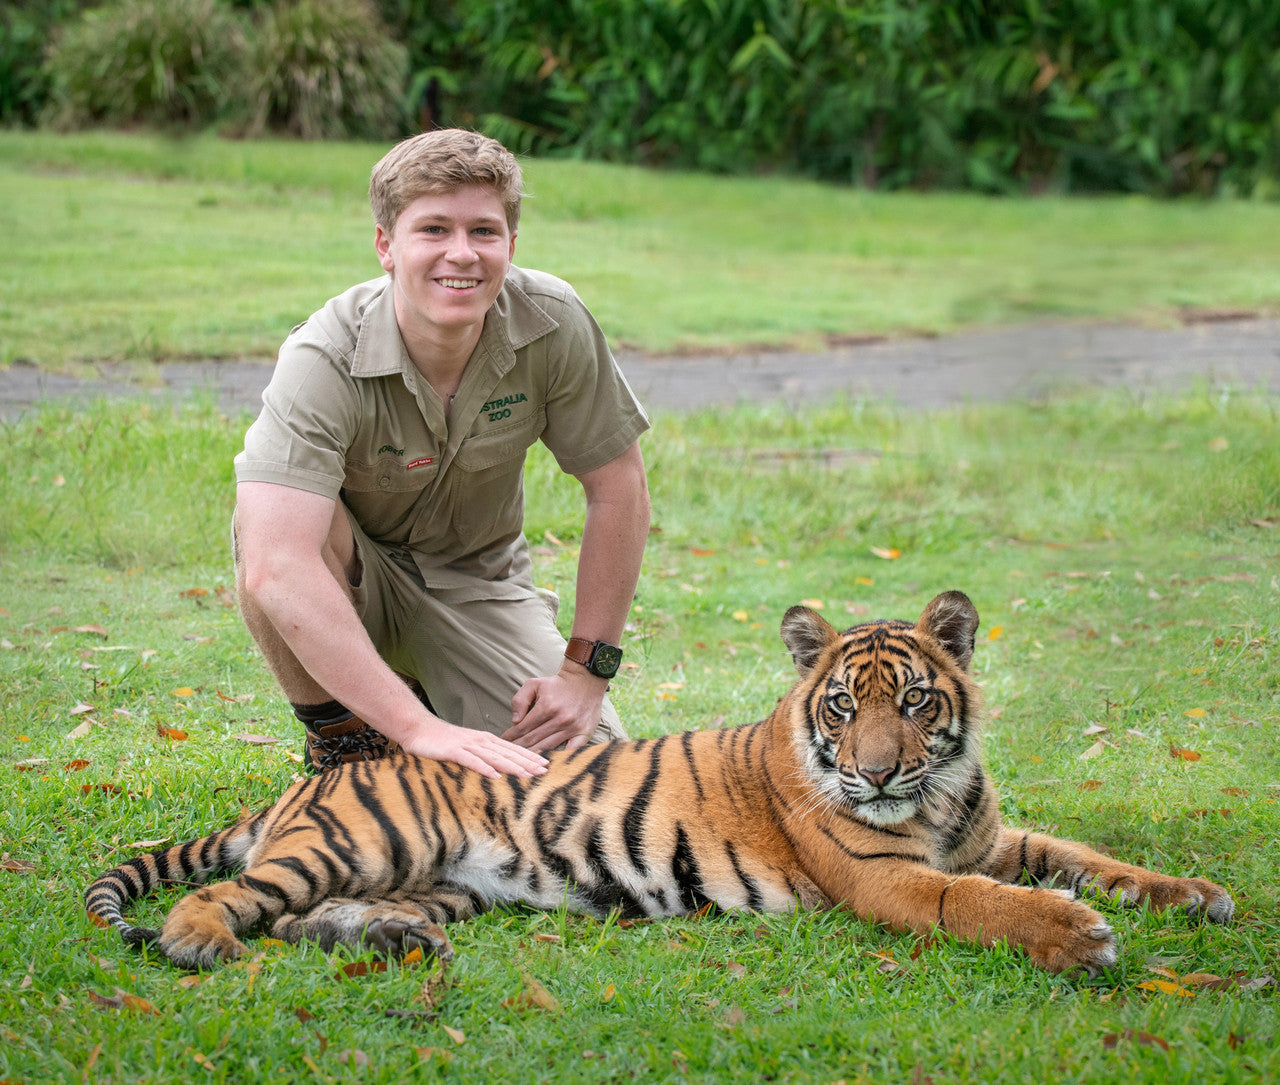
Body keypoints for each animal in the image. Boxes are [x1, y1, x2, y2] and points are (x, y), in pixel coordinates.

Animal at [85, 590, 1233, 975]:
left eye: (913, 701)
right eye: (838, 708)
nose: (874, 772)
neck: (939, 792)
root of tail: (304, 785)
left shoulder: (992, 835)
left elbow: (1090, 857)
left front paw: (1195, 893)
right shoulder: (888, 874)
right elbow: (981, 902)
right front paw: (1074, 937)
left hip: (441, 879)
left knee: (302, 917)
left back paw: (392, 939)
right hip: (361, 839)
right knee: (232, 897)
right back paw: (201, 942)